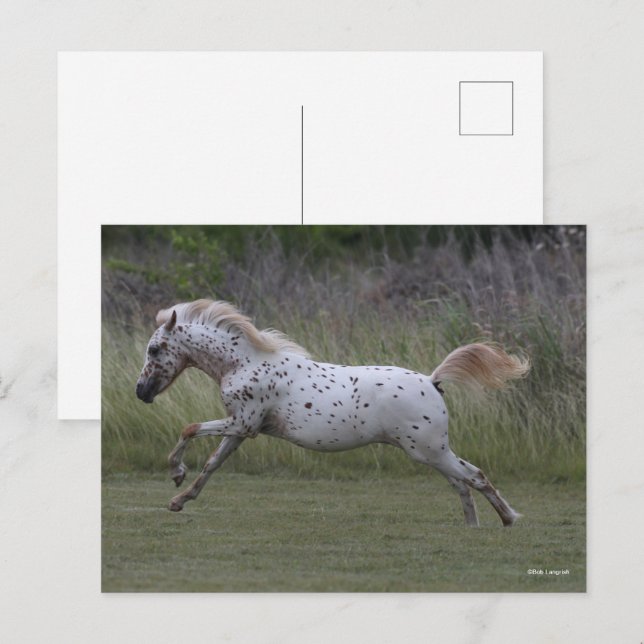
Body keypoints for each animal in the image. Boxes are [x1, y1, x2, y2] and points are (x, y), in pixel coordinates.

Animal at [135, 299, 530, 527]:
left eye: (155, 350)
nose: (141, 392)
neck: (244, 363)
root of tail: (432, 381)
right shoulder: (241, 429)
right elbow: (211, 465)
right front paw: (179, 500)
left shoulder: (242, 423)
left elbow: (189, 428)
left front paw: (176, 475)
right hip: (434, 452)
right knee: (462, 481)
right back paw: (474, 526)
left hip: (429, 451)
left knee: (473, 476)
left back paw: (508, 518)